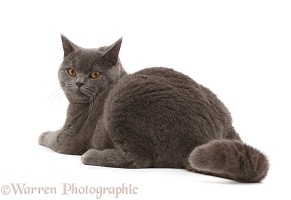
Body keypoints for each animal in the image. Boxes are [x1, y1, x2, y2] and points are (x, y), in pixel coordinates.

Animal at [38, 34, 270, 183]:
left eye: (94, 74)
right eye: (71, 71)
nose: (79, 82)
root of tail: (212, 135)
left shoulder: (68, 138)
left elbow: (52, 138)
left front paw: (42, 135)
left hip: (122, 98)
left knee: (140, 159)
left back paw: (91, 155)